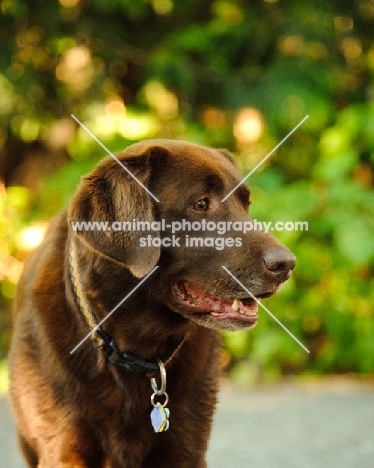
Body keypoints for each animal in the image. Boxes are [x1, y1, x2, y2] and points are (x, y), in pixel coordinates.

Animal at [8, 140, 296, 468]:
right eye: (200, 204)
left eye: (245, 204)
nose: (286, 265)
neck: (135, 350)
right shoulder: (63, 451)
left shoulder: (186, 447)